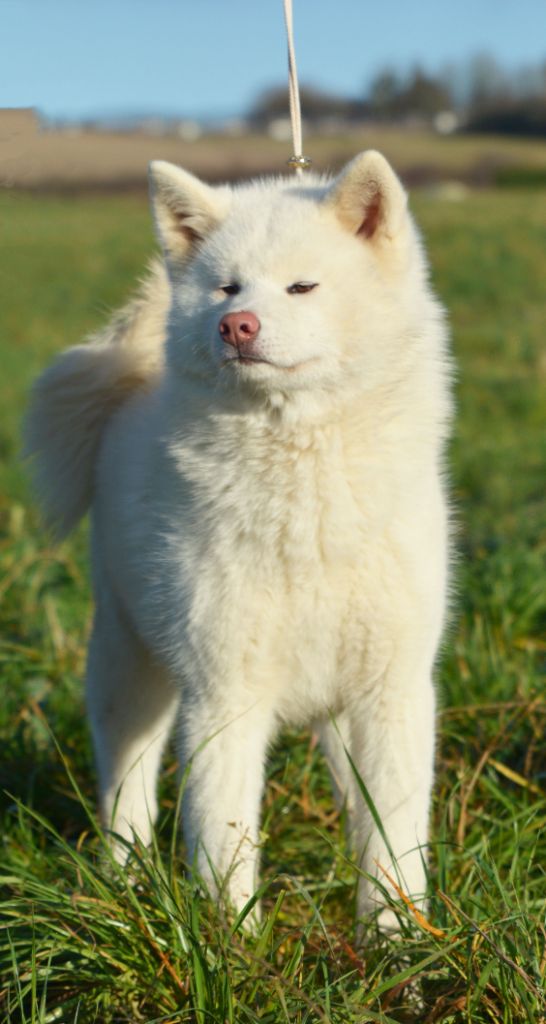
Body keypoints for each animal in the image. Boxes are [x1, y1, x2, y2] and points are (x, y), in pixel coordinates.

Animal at [25, 151, 448, 929]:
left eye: (303, 285)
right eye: (227, 287)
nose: (236, 326)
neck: (306, 502)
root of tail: (130, 389)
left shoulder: (391, 687)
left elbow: (394, 835)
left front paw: (396, 939)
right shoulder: (223, 693)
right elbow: (225, 839)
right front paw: (234, 943)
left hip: (333, 710)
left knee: (354, 799)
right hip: (128, 665)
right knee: (126, 785)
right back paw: (124, 883)